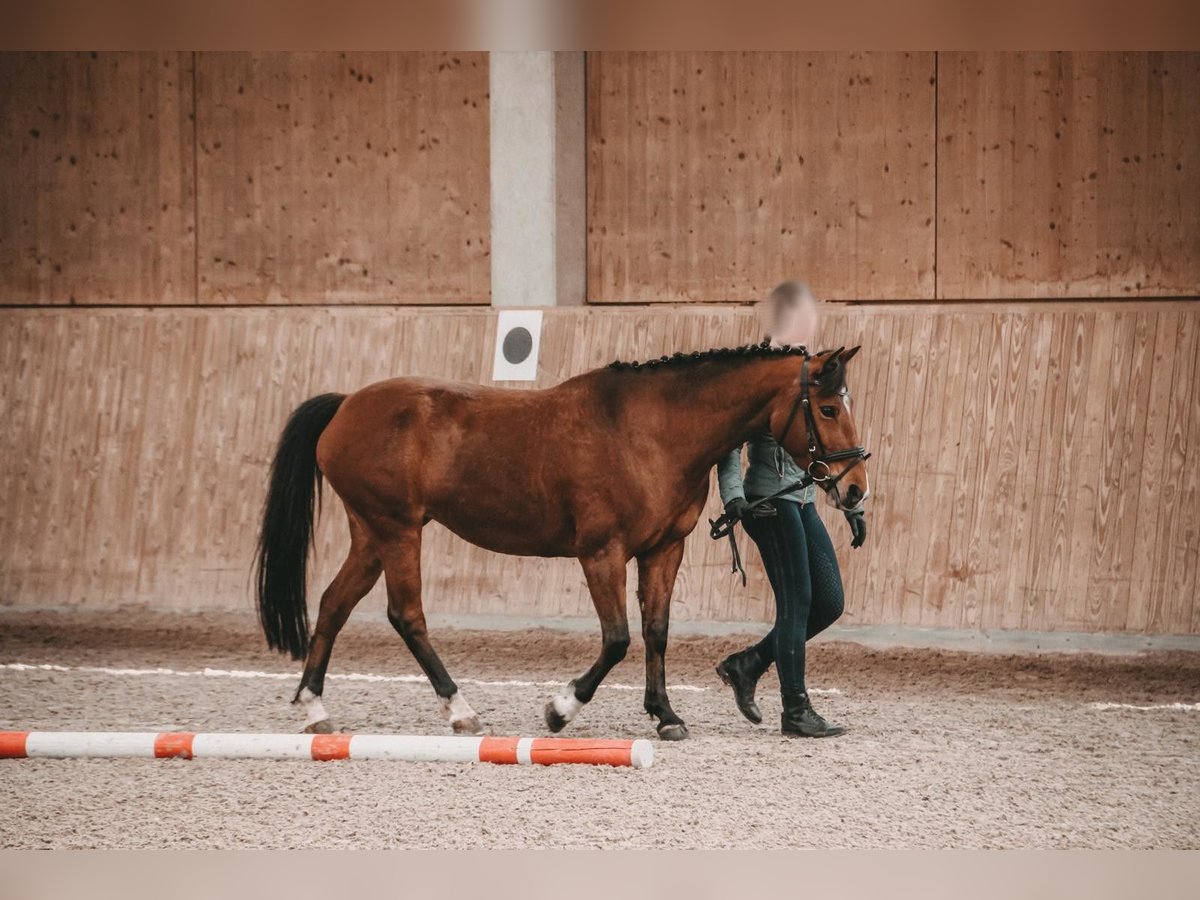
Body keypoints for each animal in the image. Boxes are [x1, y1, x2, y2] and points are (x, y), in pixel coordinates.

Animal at [258, 340, 868, 744]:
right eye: (828, 408)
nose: (856, 489)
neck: (651, 432)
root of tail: (346, 405)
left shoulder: (663, 550)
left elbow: (656, 632)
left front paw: (666, 715)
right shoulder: (602, 554)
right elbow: (618, 639)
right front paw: (560, 709)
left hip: (371, 534)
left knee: (334, 604)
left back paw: (314, 709)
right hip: (397, 530)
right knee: (406, 615)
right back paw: (460, 710)